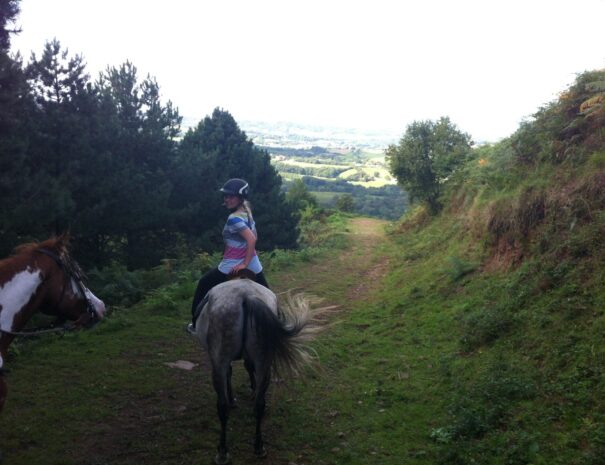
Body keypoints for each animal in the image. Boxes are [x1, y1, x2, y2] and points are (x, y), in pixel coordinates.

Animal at [193, 278, 318, 462]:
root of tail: (246, 296)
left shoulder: (221, 361)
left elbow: (231, 374)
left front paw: (234, 398)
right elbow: (248, 368)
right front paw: (252, 389)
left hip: (219, 359)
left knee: (222, 407)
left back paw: (222, 451)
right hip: (263, 359)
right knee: (260, 405)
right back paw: (259, 446)